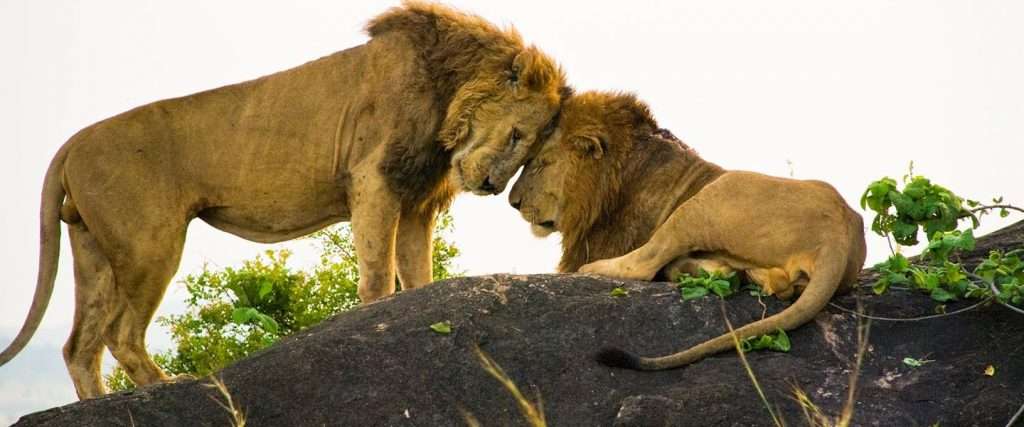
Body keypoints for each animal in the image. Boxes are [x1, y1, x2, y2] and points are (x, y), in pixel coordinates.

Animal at [0, 1, 569, 397]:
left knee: (79, 346)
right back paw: (166, 385)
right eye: (517, 135)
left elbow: (418, 273)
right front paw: (377, 318)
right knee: (119, 334)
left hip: (92, 250)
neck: (447, 87)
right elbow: (378, 275)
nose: (492, 186)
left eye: (533, 149)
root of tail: (72, 143)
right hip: (150, 244)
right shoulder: (373, 181)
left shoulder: (416, 201)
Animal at [509, 90, 864, 368]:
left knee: (643, 265)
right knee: (766, 283)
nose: (513, 201)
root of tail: (839, 235)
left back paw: (596, 268)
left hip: (708, 198)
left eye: (540, 163)